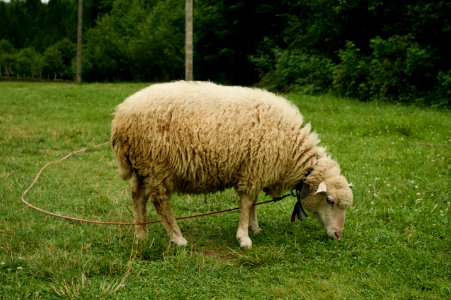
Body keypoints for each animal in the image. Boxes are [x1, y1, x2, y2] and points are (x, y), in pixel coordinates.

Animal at [111, 81, 354, 247]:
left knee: (138, 196)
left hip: (143, 167)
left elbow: (253, 202)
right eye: (330, 200)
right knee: (160, 202)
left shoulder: (255, 170)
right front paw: (244, 237)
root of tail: (120, 116)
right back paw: (178, 238)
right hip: (157, 165)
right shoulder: (253, 170)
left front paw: (254, 228)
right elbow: (246, 203)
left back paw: (141, 235)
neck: (292, 151)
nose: (338, 235)